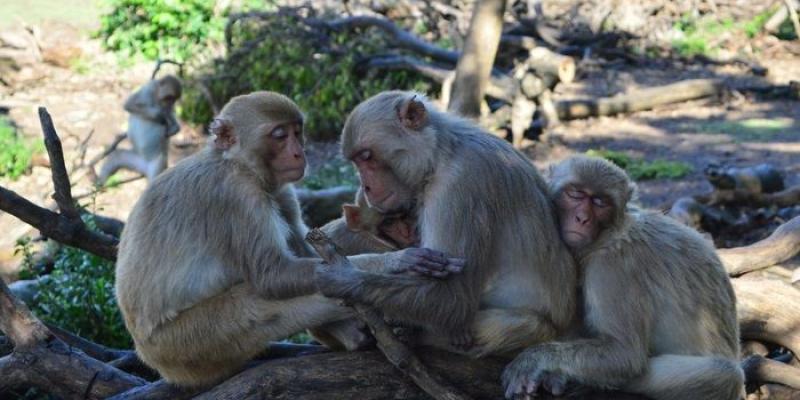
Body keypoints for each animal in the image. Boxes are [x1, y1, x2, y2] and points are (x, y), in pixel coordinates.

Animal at [115, 91, 459, 386]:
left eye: (297, 131)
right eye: (280, 135)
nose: (299, 153)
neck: (237, 164)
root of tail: (148, 355)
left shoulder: (280, 188)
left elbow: (305, 247)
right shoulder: (237, 195)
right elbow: (272, 276)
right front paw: (397, 262)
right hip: (187, 344)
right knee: (260, 307)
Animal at [313, 91, 577, 356]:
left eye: (366, 157)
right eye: (356, 161)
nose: (366, 186)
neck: (441, 154)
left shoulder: (458, 186)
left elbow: (452, 299)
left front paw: (342, 278)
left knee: (525, 325)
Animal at [502, 155, 743, 400]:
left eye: (600, 202)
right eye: (576, 194)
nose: (582, 218)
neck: (606, 234)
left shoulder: (613, 267)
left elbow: (625, 355)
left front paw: (534, 360)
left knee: (727, 375)